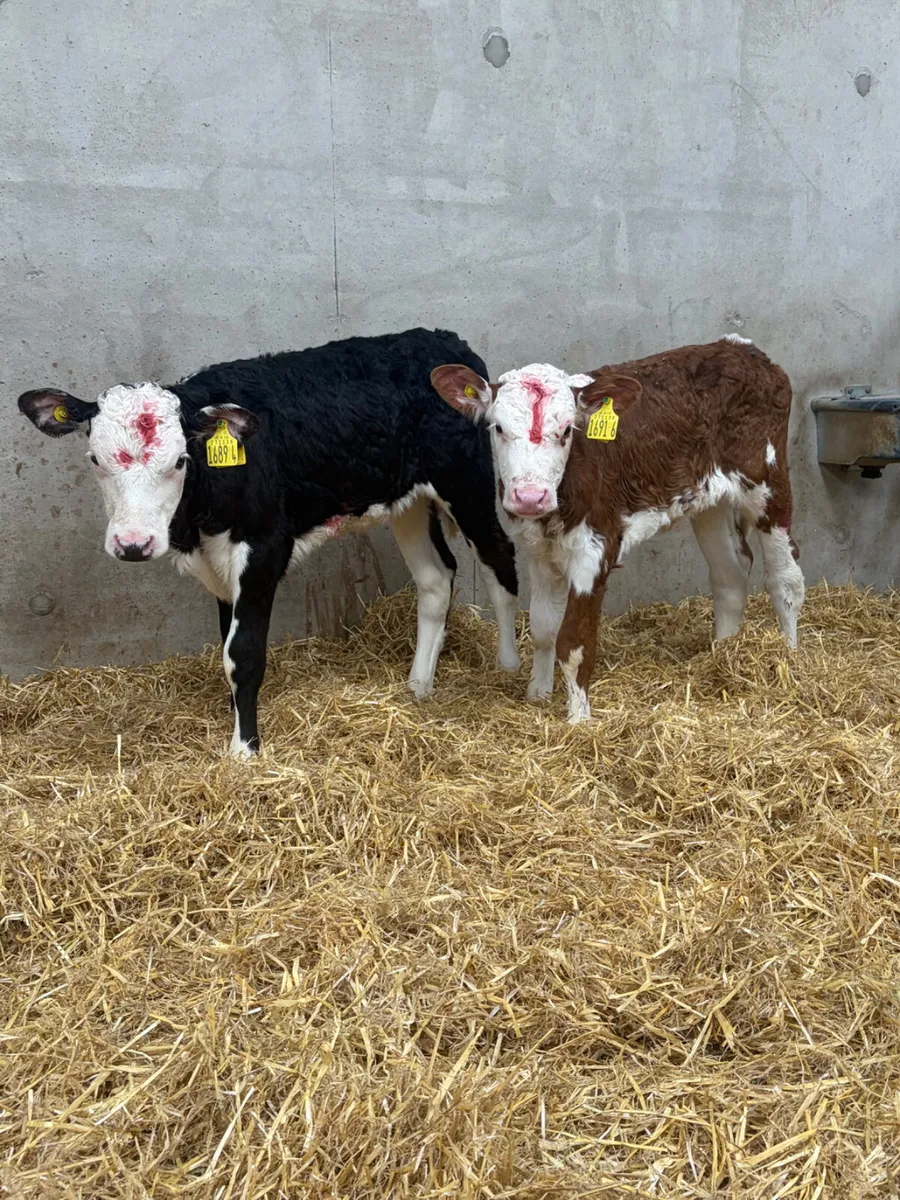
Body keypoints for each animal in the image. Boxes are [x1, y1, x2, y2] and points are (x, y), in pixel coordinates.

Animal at [18, 328, 520, 756]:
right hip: (409, 502)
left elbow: (242, 653)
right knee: (435, 579)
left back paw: (509, 668)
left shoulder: (263, 547)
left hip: (467, 483)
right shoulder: (217, 562)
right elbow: (226, 644)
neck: (199, 517)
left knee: (500, 559)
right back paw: (417, 688)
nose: (133, 544)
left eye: (179, 460)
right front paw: (235, 715)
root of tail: (441, 340)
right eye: (95, 459)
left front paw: (245, 750)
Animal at [430, 334, 805, 722]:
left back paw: (788, 657)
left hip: (767, 481)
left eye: (566, 431)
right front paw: (538, 695)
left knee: (785, 579)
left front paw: (578, 720)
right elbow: (543, 628)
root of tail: (740, 347)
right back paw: (724, 653)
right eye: (499, 429)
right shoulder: (536, 549)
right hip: (709, 500)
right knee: (730, 575)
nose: (530, 496)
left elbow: (574, 642)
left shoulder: (595, 547)